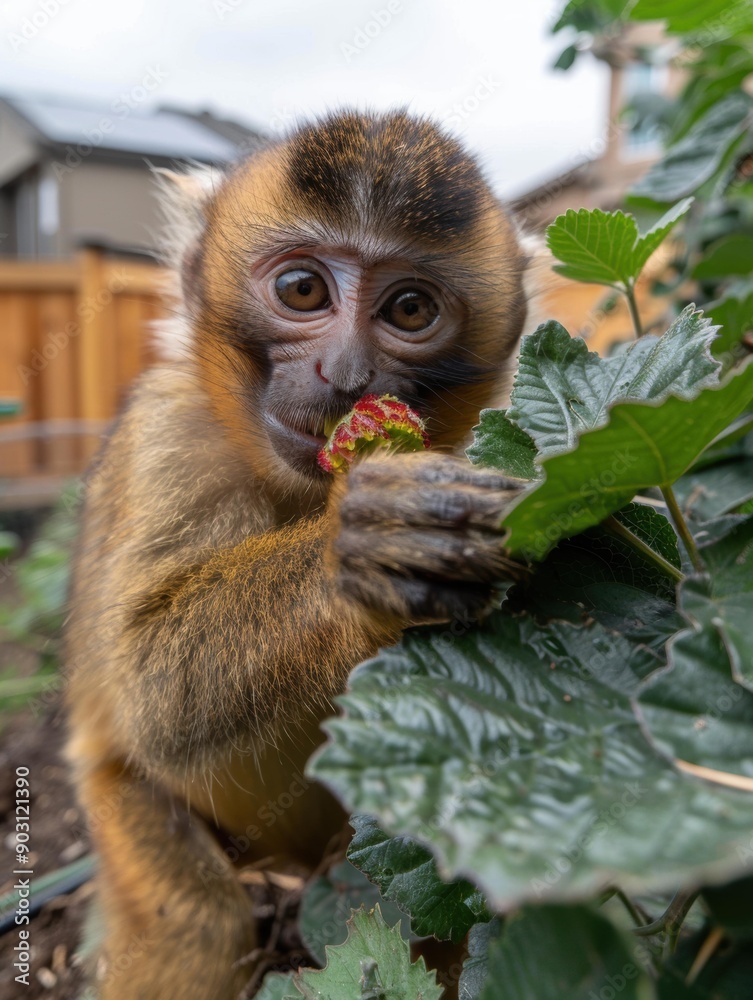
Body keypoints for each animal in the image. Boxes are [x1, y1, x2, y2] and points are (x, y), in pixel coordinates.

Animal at [66, 111, 528, 1000]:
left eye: (408, 308)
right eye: (303, 291)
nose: (344, 373)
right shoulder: (165, 433)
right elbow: (149, 691)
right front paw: (355, 554)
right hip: (114, 806)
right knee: (198, 917)